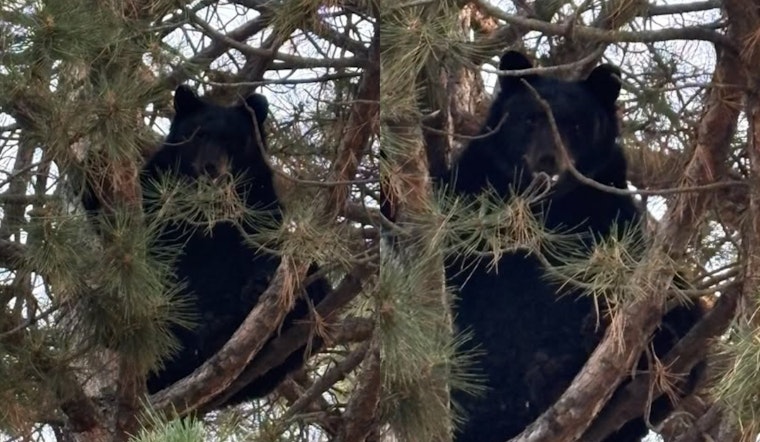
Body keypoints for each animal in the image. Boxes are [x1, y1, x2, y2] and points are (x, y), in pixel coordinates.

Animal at [84, 85, 330, 407]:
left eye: (233, 140)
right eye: (199, 134)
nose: (211, 168)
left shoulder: (258, 202)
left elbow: (264, 245)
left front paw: (262, 281)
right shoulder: (156, 194)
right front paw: (97, 170)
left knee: (316, 282)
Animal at [439, 51, 702, 442]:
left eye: (577, 126)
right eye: (530, 118)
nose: (549, 159)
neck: (547, 211)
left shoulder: (610, 216)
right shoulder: (470, 195)